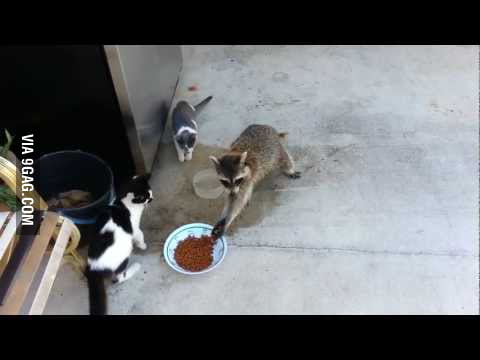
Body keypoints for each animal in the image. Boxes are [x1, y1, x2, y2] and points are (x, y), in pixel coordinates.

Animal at [86, 174, 153, 316]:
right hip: (124, 253)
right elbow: (140, 235)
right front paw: (143, 245)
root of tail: (93, 268)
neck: (122, 203)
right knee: (119, 278)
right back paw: (134, 268)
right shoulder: (134, 229)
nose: (152, 199)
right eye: (145, 197)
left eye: (150, 192)